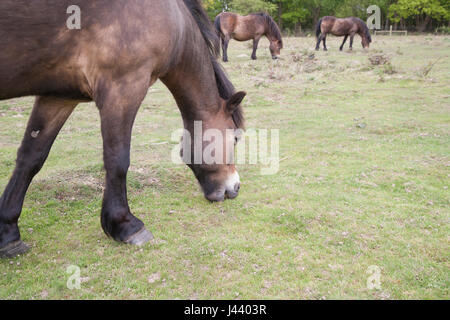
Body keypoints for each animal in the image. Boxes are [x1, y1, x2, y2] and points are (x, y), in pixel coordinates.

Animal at [0, 0, 246, 258]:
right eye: (235, 138)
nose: (235, 187)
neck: (175, 22)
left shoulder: (58, 97)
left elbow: (31, 158)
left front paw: (8, 233)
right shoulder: (123, 88)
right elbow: (117, 160)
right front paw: (125, 225)